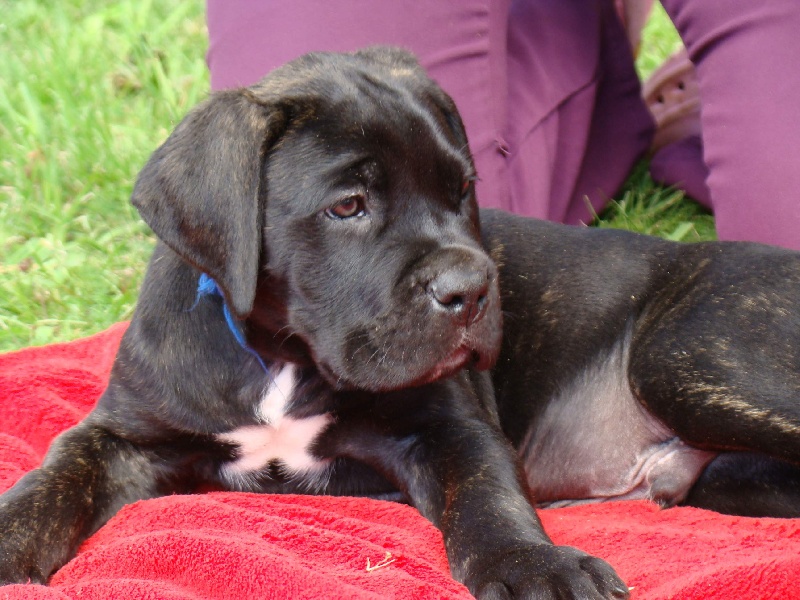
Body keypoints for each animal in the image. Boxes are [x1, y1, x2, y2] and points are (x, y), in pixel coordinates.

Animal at [1, 48, 800, 600]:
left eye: (461, 191)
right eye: (348, 206)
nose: (471, 290)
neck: (282, 357)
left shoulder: (452, 429)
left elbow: (489, 499)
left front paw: (532, 563)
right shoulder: (123, 436)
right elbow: (52, 479)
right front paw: (10, 539)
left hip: (681, 360)